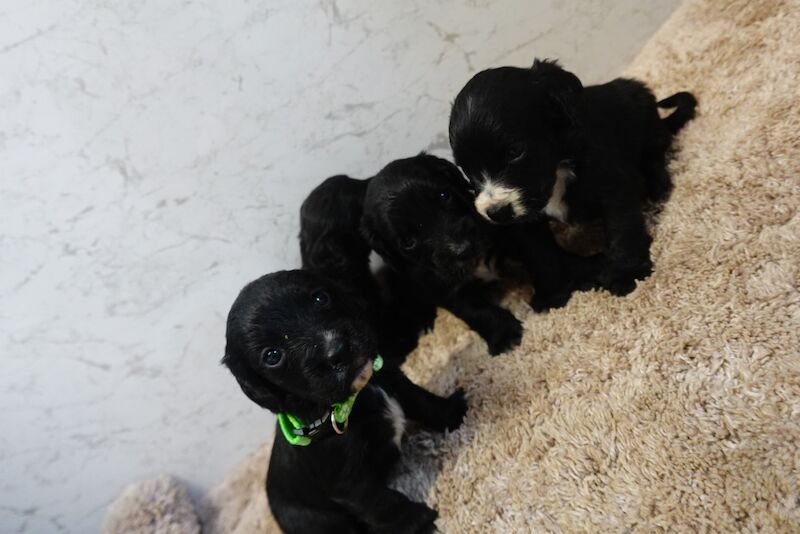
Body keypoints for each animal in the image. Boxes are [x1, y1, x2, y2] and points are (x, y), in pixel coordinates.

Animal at [223, 272, 468, 534]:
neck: (353, 400)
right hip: (322, 521)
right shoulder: (351, 485)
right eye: (272, 356)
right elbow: (387, 504)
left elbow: (422, 401)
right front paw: (422, 524)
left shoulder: (392, 378)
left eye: (320, 298)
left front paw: (454, 412)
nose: (337, 350)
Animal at [360, 155, 596, 356]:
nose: (463, 248)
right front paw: (504, 335)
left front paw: (556, 292)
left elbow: (542, 257)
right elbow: (475, 311)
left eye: (444, 195)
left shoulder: (517, 230)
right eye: (408, 242)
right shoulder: (443, 286)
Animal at [450, 58, 692, 298]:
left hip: (645, 118)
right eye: (463, 169)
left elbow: (622, 227)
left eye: (515, 151)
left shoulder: (613, 185)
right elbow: (540, 253)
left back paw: (658, 185)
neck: (559, 165)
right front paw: (553, 295)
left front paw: (626, 273)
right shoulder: (525, 221)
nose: (496, 212)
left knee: (657, 151)